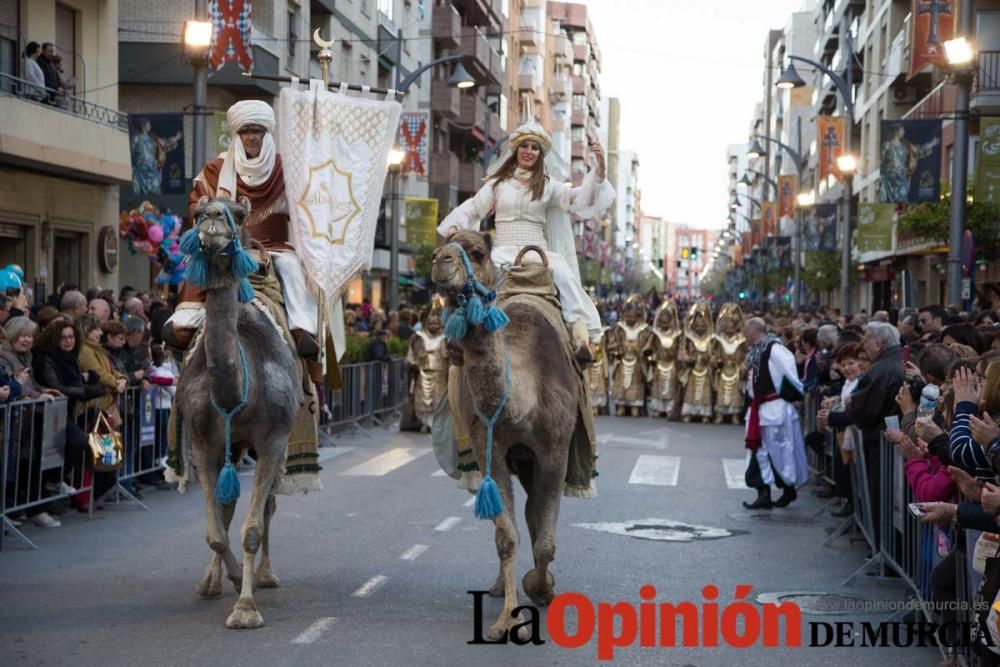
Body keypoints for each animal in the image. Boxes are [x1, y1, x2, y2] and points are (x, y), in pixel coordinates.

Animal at [175, 197, 300, 632]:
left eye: (238, 214)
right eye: (198, 211)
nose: (213, 218)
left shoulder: (273, 440)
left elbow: (252, 527)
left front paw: (245, 607)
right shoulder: (203, 443)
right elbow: (217, 530)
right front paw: (223, 579)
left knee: (269, 507)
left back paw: (265, 575)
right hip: (232, 446)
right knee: (227, 509)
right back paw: (212, 580)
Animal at [432, 230, 584, 640]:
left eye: (476, 252)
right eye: (440, 245)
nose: (439, 261)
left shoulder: (555, 451)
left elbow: (545, 540)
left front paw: (541, 588)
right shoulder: (491, 450)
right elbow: (505, 535)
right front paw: (506, 620)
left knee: (534, 514)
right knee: (519, 519)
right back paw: (501, 586)